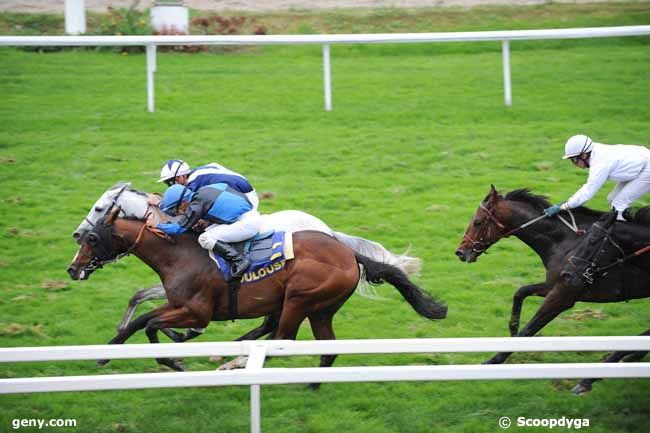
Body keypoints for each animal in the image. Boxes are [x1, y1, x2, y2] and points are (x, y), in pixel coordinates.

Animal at [454, 184, 644, 394]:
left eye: (477, 222)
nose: (460, 252)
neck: (563, 242)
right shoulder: (553, 284)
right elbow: (520, 292)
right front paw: (512, 329)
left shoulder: (563, 295)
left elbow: (529, 329)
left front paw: (493, 361)